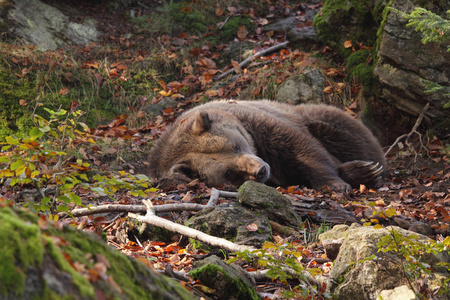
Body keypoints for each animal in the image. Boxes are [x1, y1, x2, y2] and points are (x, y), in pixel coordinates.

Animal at [149, 99, 386, 191]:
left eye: (236, 146)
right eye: (228, 173)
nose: (260, 170)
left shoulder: (259, 125)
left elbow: (303, 149)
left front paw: (336, 183)